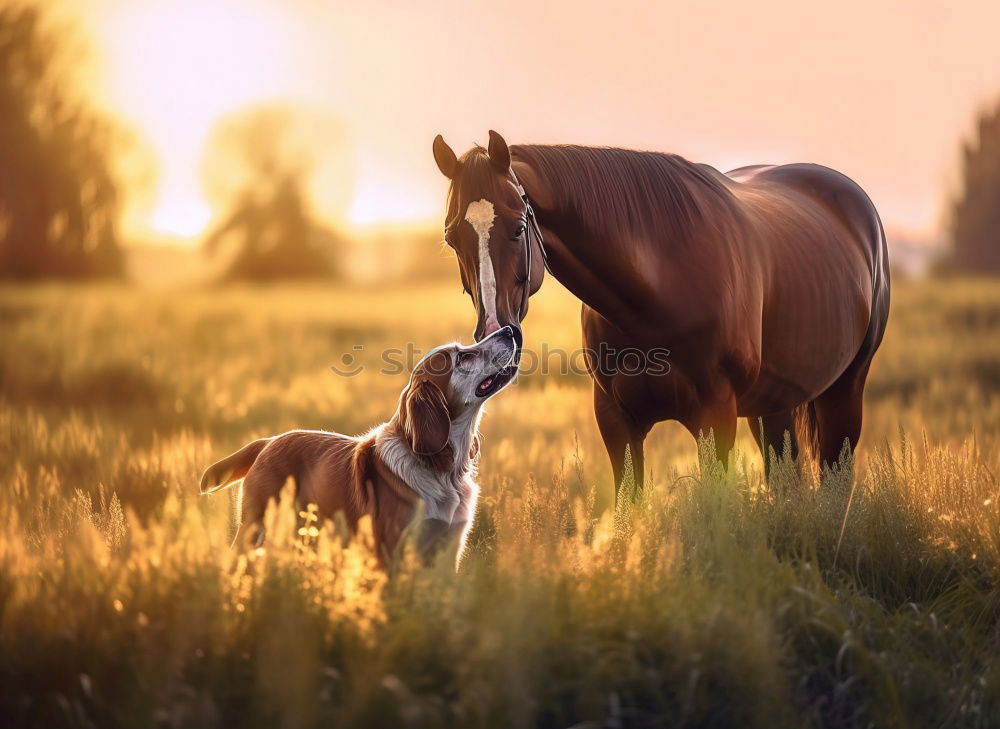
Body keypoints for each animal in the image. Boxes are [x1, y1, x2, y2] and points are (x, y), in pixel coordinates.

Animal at [199, 328, 520, 564]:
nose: (509, 329)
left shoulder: (446, 551)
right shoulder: (389, 551)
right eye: (462, 357)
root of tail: (269, 441)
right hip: (255, 529)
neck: (442, 470)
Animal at [434, 131, 888, 494]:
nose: (495, 329)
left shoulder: (715, 418)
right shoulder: (617, 423)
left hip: (844, 393)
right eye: (452, 238)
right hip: (773, 407)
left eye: (519, 227)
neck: (656, 291)